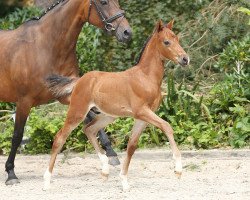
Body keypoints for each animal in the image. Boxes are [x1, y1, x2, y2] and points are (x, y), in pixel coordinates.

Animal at [0, 0, 132, 184]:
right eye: (103, 2)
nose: (127, 32)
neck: (45, 47)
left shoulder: (66, 94)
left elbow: (92, 117)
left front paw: (111, 154)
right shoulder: (24, 102)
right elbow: (17, 136)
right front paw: (11, 173)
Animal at [43, 19, 189, 191]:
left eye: (177, 39)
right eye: (166, 42)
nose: (185, 59)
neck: (145, 78)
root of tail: (79, 80)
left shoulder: (142, 118)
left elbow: (131, 146)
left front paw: (124, 181)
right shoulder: (142, 112)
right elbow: (167, 126)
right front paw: (178, 170)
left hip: (107, 116)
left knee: (89, 129)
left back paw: (105, 170)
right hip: (77, 112)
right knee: (60, 137)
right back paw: (46, 181)